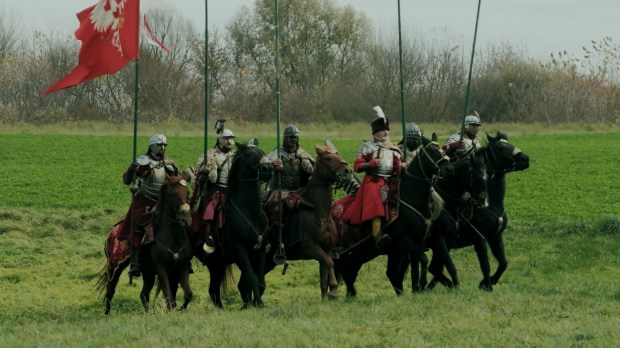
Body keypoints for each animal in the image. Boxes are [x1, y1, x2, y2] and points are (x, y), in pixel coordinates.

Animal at [95, 175, 193, 314]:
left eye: (188, 193)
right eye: (174, 194)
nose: (186, 219)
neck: (172, 237)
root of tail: (112, 231)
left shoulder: (182, 267)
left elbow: (188, 294)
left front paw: (179, 310)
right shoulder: (161, 270)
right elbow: (168, 295)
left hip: (148, 273)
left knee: (144, 294)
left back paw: (147, 313)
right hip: (115, 266)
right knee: (110, 289)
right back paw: (107, 314)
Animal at [194, 143, 272, 308]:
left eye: (262, 152)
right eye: (248, 154)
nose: (268, 168)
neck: (250, 213)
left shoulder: (260, 250)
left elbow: (260, 280)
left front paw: (253, 304)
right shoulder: (239, 250)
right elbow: (252, 277)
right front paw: (258, 303)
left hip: (217, 263)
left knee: (213, 288)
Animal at [262, 141, 354, 300]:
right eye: (328, 158)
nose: (348, 172)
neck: (319, 212)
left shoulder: (326, 249)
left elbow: (324, 276)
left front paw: (326, 298)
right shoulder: (310, 247)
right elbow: (330, 262)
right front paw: (334, 290)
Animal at [332, 135, 452, 298]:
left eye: (443, 150)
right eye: (433, 152)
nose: (449, 168)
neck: (410, 197)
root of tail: (333, 208)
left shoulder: (414, 242)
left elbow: (416, 264)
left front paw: (417, 288)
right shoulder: (404, 240)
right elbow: (423, 259)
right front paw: (421, 284)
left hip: (364, 251)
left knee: (349, 270)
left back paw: (350, 295)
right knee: (340, 268)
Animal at [432, 130, 528, 290]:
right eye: (500, 148)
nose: (525, 159)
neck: (490, 204)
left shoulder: (496, 237)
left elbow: (503, 263)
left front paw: (488, 282)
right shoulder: (480, 239)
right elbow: (485, 265)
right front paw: (487, 285)